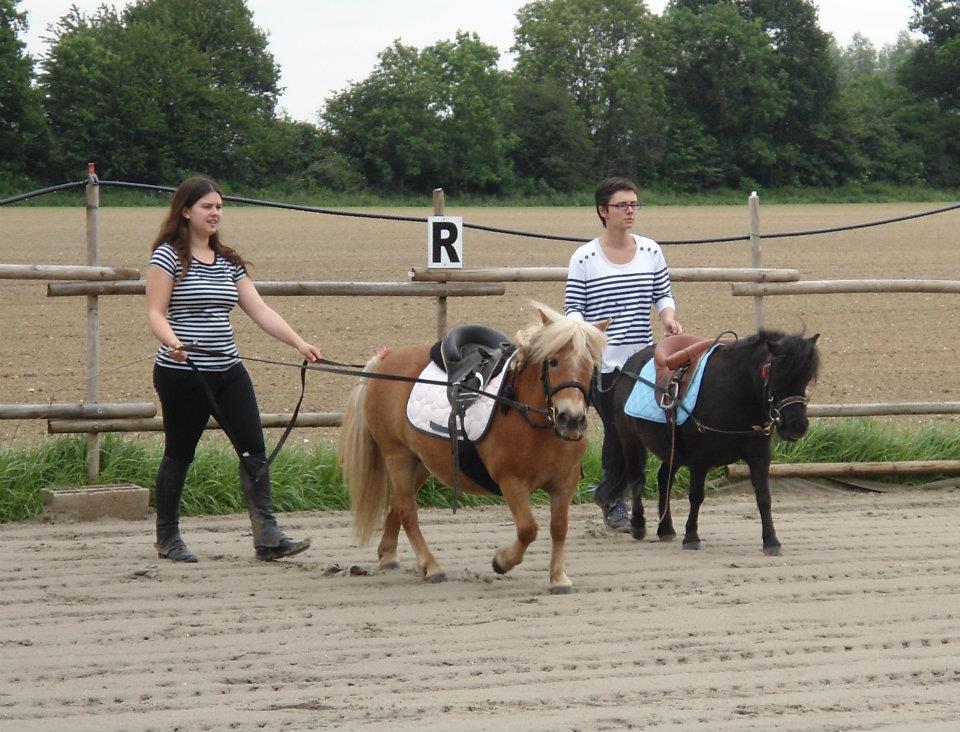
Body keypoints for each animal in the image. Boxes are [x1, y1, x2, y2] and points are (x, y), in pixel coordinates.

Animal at [340, 304, 608, 596]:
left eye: (592, 364)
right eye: (554, 361)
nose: (571, 419)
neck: (531, 418)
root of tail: (386, 360)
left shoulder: (564, 483)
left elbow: (559, 528)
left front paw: (558, 578)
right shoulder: (511, 482)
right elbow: (528, 529)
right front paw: (502, 561)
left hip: (420, 462)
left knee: (399, 506)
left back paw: (389, 555)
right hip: (397, 456)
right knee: (408, 511)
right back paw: (431, 566)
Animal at [608, 330, 816, 556]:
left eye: (807, 377)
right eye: (777, 375)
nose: (797, 426)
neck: (736, 392)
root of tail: (628, 367)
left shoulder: (759, 454)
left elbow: (764, 497)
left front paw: (771, 541)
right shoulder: (700, 458)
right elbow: (696, 496)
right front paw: (691, 536)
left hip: (673, 448)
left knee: (664, 479)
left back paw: (666, 529)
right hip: (630, 438)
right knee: (637, 478)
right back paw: (638, 525)